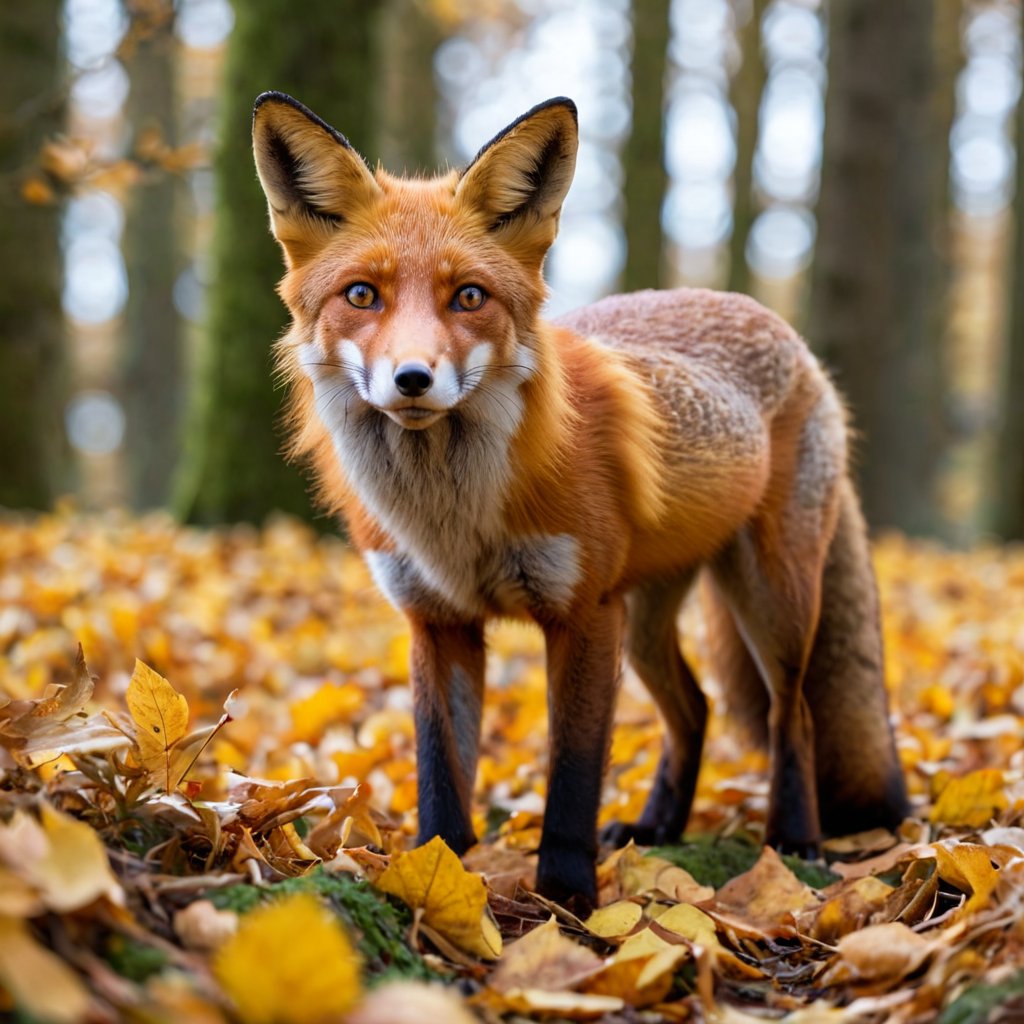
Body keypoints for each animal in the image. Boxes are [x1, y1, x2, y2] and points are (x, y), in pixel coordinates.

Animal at [251, 91, 910, 907]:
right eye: (362, 296)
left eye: (468, 297)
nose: (412, 379)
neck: (453, 520)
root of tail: (780, 327)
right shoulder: (437, 623)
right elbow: (441, 774)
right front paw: (434, 873)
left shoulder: (585, 613)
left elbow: (571, 776)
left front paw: (567, 898)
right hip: (649, 618)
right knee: (695, 709)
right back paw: (657, 825)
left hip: (771, 601)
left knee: (796, 716)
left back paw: (795, 838)